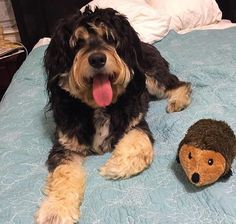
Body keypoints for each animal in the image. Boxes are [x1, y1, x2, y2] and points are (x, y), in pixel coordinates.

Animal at [36, 6, 192, 224]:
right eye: (78, 43)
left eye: (110, 38)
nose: (97, 59)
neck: (98, 107)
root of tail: (145, 44)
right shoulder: (65, 145)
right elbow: (63, 174)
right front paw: (56, 210)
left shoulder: (135, 122)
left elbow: (137, 144)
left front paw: (116, 166)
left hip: (151, 77)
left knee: (179, 84)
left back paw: (178, 101)